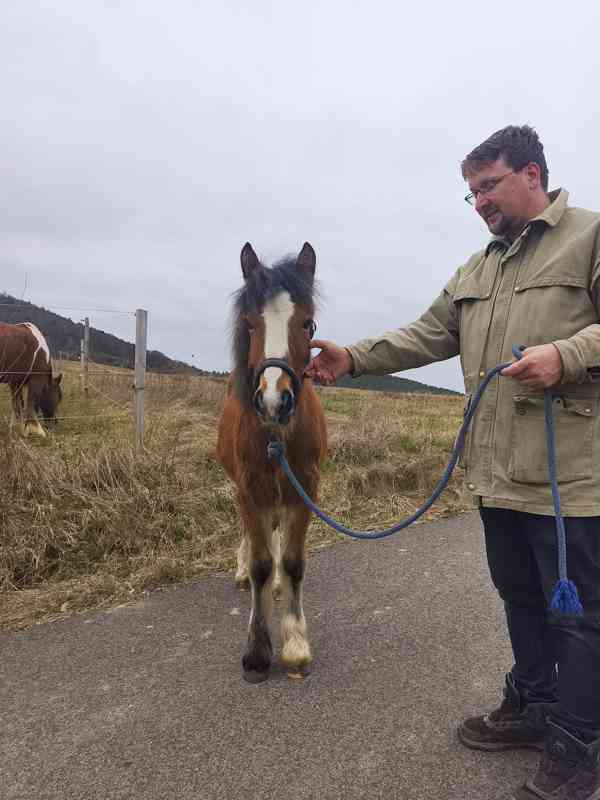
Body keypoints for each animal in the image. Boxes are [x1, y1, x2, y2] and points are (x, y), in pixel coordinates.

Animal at [217, 242, 327, 683]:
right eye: (250, 324)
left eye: (308, 324)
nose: (273, 400)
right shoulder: (250, 489)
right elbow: (261, 563)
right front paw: (257, 652)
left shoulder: (305, 489)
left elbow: (293, 563)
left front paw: (295, 644)